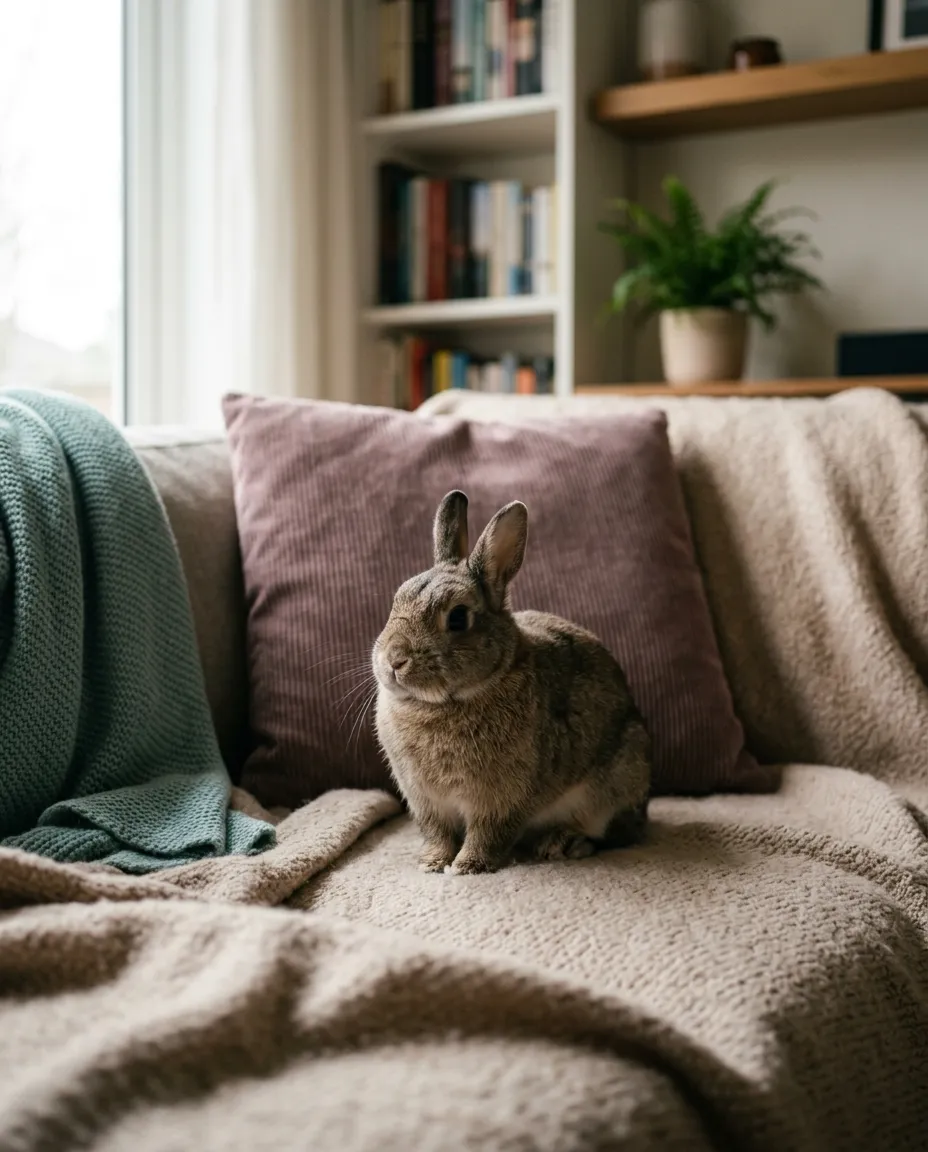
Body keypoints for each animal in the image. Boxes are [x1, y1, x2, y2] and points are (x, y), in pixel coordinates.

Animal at [372, 490, 651, 875]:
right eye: (396, 600)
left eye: (457, 618)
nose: (394, 660)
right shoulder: (426, 802)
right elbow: (438, 833)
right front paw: (432, 863)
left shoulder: (501, 800)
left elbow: (487, 834)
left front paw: (467, 866)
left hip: (617, 780)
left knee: (615, 833)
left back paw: (564, 843)